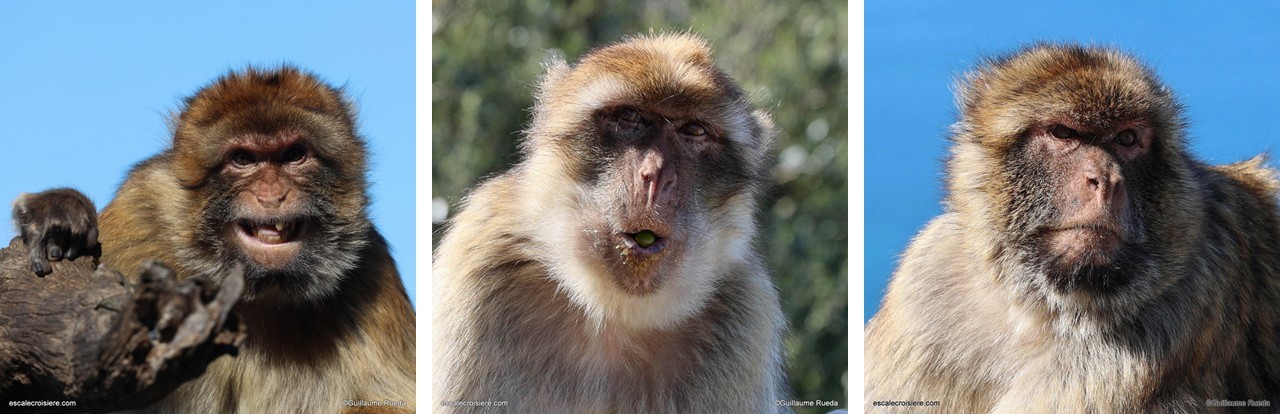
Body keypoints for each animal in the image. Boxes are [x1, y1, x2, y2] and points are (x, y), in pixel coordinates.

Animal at [13, 67, 415, 413]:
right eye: (243, 159)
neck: (255, 290)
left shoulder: (368, 269)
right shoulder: (138, 222)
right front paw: (60, 216)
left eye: (295, 155)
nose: (272, 195)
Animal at [433, 33, 788, 413]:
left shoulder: (745, 313)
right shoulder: (483, 262)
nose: (656, 177)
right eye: (630, 117)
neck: (609, 311)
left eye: (694, 130)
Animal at [864, 44, 1280, 413]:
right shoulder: (924, 290)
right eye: (1064, 133)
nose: (1107, 179)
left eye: (1127, 139)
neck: (1036, 309)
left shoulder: (1171, 315)